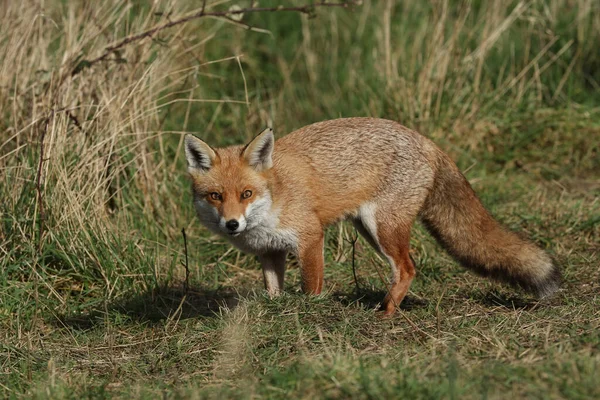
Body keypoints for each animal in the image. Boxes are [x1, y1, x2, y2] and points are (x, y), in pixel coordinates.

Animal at [185, 117, 560, 314]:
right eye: (216, 196)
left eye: (246, 194)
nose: (232, 224)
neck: (275, 195)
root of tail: (425, 140)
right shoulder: (270, 251)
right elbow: (273, 289)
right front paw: (276, 308)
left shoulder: (310, 237)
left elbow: (311, 286)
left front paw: (310, 311)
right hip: (369, 229)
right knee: (405, 270)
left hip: (384, 228)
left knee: (408, 269)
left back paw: (387, 312)